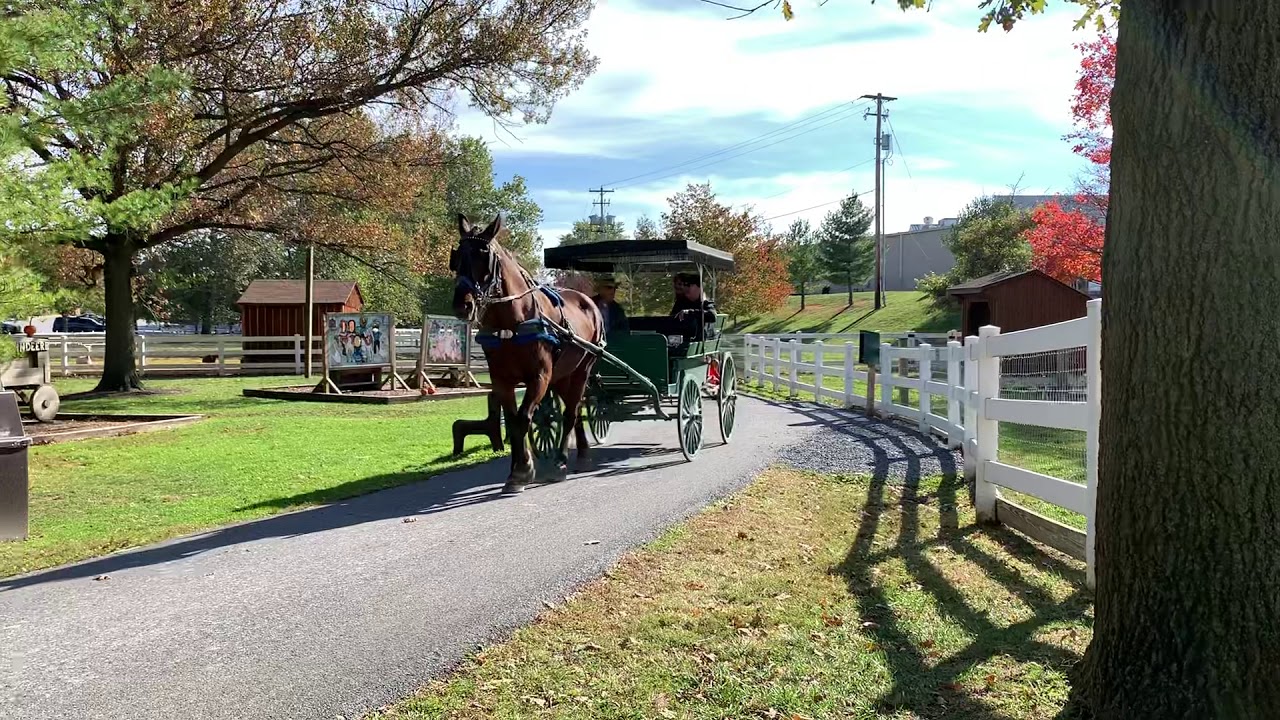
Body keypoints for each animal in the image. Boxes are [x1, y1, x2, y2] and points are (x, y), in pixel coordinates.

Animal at [453, 212, 606, 489]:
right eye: (457, 257)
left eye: (484, 256)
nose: (462, 304)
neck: (511, 325)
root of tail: (590, 301)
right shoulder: (501, 380)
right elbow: (514, 421)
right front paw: (519, 469)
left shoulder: (539, 377)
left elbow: (524, 418)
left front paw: (524, 469)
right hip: (561, 376)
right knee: (575, 410)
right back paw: (581, 453)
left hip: (581, 371)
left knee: (570, 412)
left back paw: (561, 461)